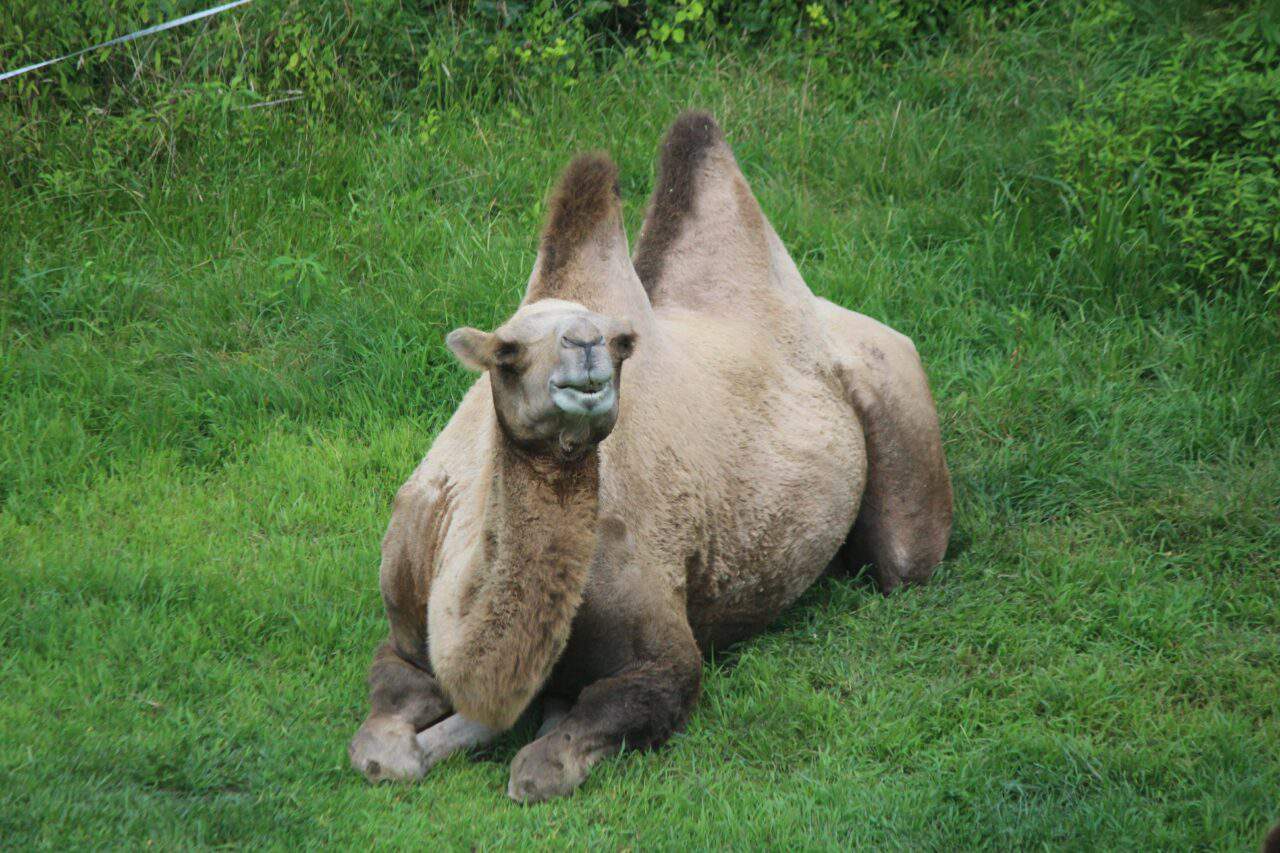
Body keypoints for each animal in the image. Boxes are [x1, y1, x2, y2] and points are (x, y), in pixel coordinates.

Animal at [347, 112, 952, 802]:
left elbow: (546, 762)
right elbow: (383, 739)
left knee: (903, 564)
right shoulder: (405, 629)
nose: (585, 347)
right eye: (507, 353)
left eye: (618, 343)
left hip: (900, 425)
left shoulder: (661, 651)